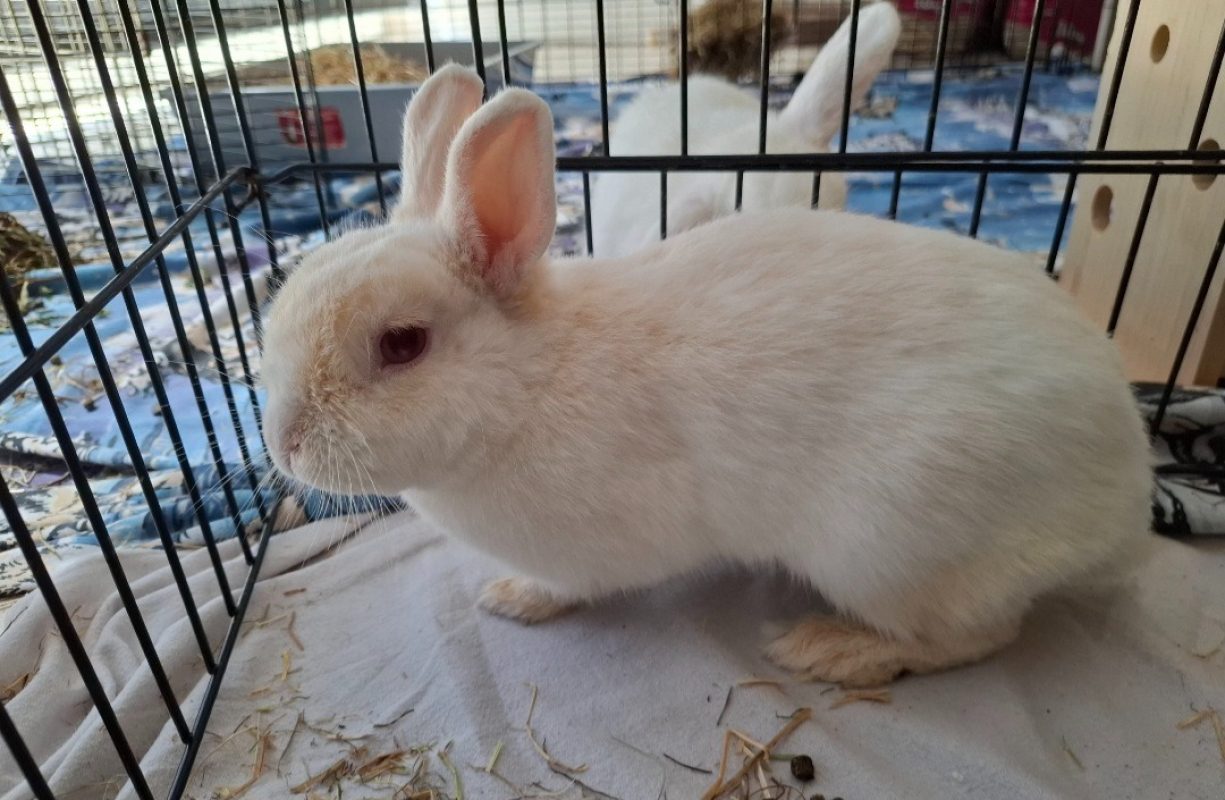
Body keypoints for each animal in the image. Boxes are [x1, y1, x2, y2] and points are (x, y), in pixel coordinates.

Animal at [261, 64, 1153, 688]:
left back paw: (832, 651)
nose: (284, 445)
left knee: (975, 637)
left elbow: (568, 584)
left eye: (402, 344)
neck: (527, 385)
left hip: (890, 552)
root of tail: (1124, 510)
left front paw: (513, 598)